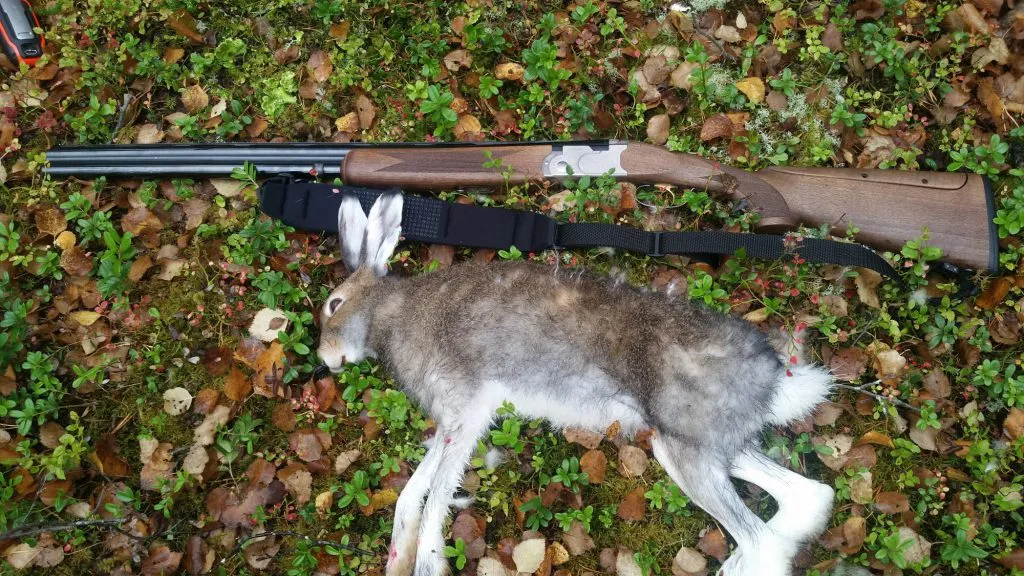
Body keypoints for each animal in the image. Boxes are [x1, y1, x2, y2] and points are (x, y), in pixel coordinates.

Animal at [317, 191, 836, 576]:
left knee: (766, 543)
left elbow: (434, 500)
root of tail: (772, 373)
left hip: (685, 446)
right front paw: (397, 557)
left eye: (333, 304)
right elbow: (411, 494)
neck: (391, 315)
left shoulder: (464, 412)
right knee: (808, 498)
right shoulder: (453, 422)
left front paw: (425, 562)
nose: (326, 359)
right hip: (696, 441)